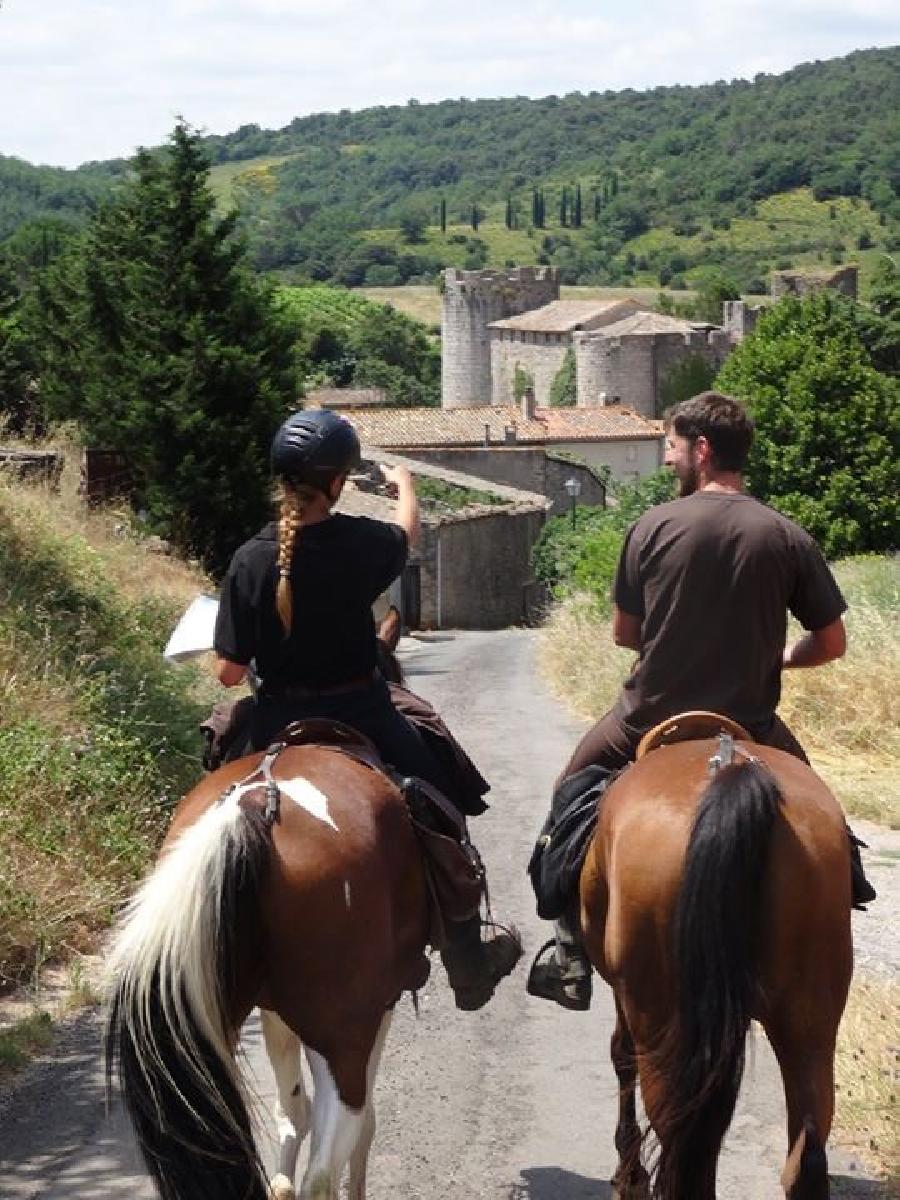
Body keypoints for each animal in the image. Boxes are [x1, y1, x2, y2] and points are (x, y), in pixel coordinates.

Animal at [580, 734, 854, 1195]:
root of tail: (730, 770)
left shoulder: (624, 994)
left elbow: (620, 1055)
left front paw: (629, 1175)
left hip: (662, 1025)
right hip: (810, 1022)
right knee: (807, 1154)